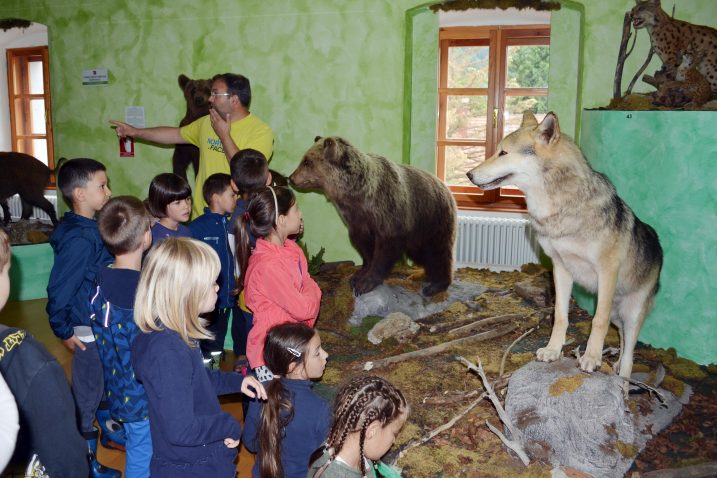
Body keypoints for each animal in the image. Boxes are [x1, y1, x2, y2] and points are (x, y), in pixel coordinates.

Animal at [288, 136, 456, 296]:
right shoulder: (356, 219)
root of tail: (446, 187)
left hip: (432, 219)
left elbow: (385, 249)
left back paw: (437, 284)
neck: (358, 195)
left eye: (307, 161)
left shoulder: (388, 211)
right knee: (422, 253)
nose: (291, 177)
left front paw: (366, 283)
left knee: (438, 251)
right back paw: (421, 275)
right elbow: (364, 246)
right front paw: (359, 274)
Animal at [468, 111, 664, 378]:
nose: (469, 175)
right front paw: (553, 351)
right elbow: (560, 316)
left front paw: (591, 358)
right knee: (623, 344)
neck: (559, 209)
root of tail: (660, 248)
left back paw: (622, 381)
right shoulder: (560, 268)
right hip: (619, 317)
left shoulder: (607, 271)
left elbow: (597, 320)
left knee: (629, 357)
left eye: (503, 152)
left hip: (631, 315)